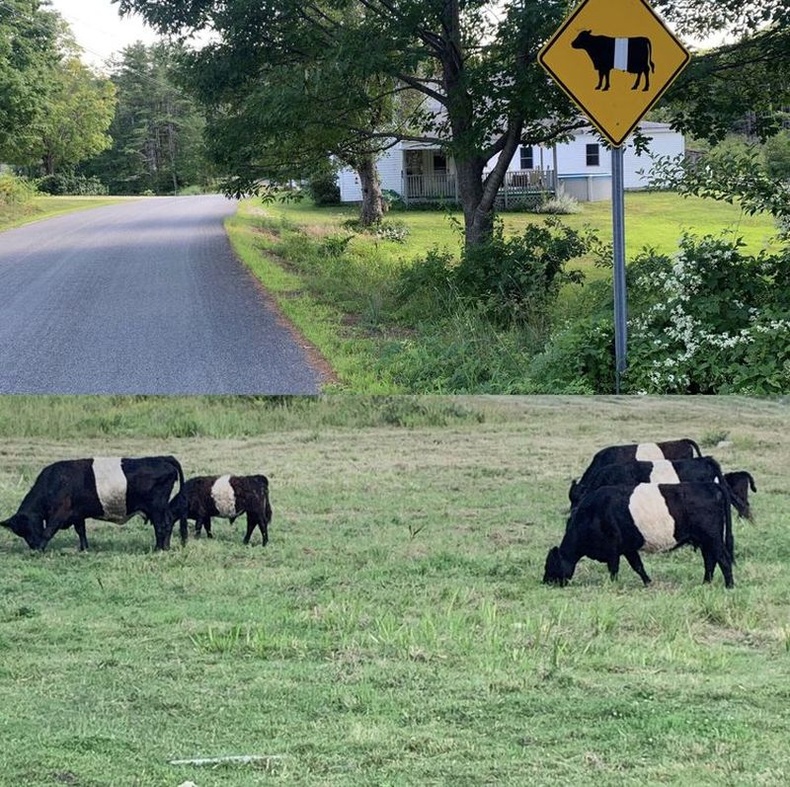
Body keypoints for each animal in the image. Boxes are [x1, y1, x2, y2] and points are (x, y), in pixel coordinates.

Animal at [0, 456, 186, 556]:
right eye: (20, 532)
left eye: (28, 528)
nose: (32, 545)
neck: (54, 482)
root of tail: (162, 458)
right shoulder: (77, 514)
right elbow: (81, 531)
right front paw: (84, 549)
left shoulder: (60, 513)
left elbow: (48, 531)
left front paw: (39, 549)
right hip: (158, 508)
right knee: (167, 523)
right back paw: (164, 547)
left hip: (157, 507)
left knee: (162, 526)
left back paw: (159, 549)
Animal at [544, 484, 736, 588]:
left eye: (550, 565)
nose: (545, 582)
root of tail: (710, 485)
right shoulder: (628, 548)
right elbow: (638, 566)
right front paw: (648, 582)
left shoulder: (613, 548)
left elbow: (614, 569)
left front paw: (613, 585)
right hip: (705, 541)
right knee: (710, 561)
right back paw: (706, 583)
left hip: (712, 538)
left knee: (723, 560)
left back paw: (729, 586)